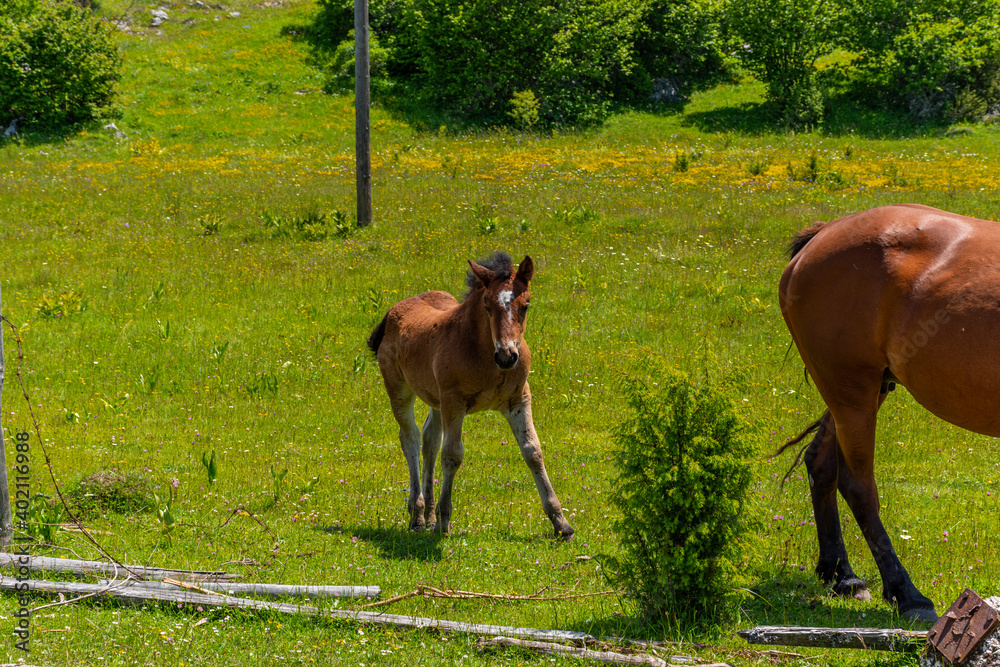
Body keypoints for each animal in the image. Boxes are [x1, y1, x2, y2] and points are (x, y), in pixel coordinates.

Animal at [366, 252, 574, 540]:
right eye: (487, 306)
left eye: (526, 305)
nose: (507, 356)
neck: (485, 357)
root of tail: (392, 311)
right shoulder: (454, 402)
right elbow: (452, 454)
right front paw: (443, 522)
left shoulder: (518, 400)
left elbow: (533, 451)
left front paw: (561, 522)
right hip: (400, 390)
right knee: (411, 439)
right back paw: (418, 516)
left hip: (436, 400)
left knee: (430, 439)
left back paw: (427, 514)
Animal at [777, 203, 1000, 622]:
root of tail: (823, 233)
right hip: (853, 395)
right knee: (858, 488)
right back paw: (905, 592)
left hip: (858, 394)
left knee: (820, 464)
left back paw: (843, 577)